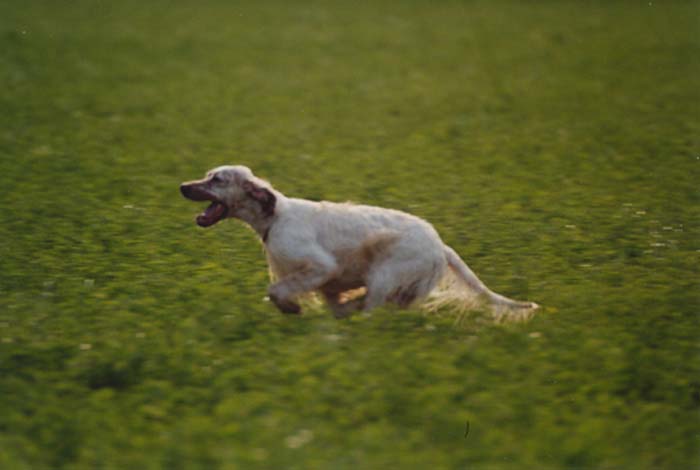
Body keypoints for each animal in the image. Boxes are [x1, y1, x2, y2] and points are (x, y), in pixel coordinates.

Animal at [180, 165, 536, 320]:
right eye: (207, 175)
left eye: (217, 179)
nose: (183, 186)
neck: (274, 217)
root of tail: (441, 245)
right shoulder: (329, 286)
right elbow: (333, 304)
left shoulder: (320, 267)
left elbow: (277, 290)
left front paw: (291, 307)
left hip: (384, 276)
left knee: (371, 307)